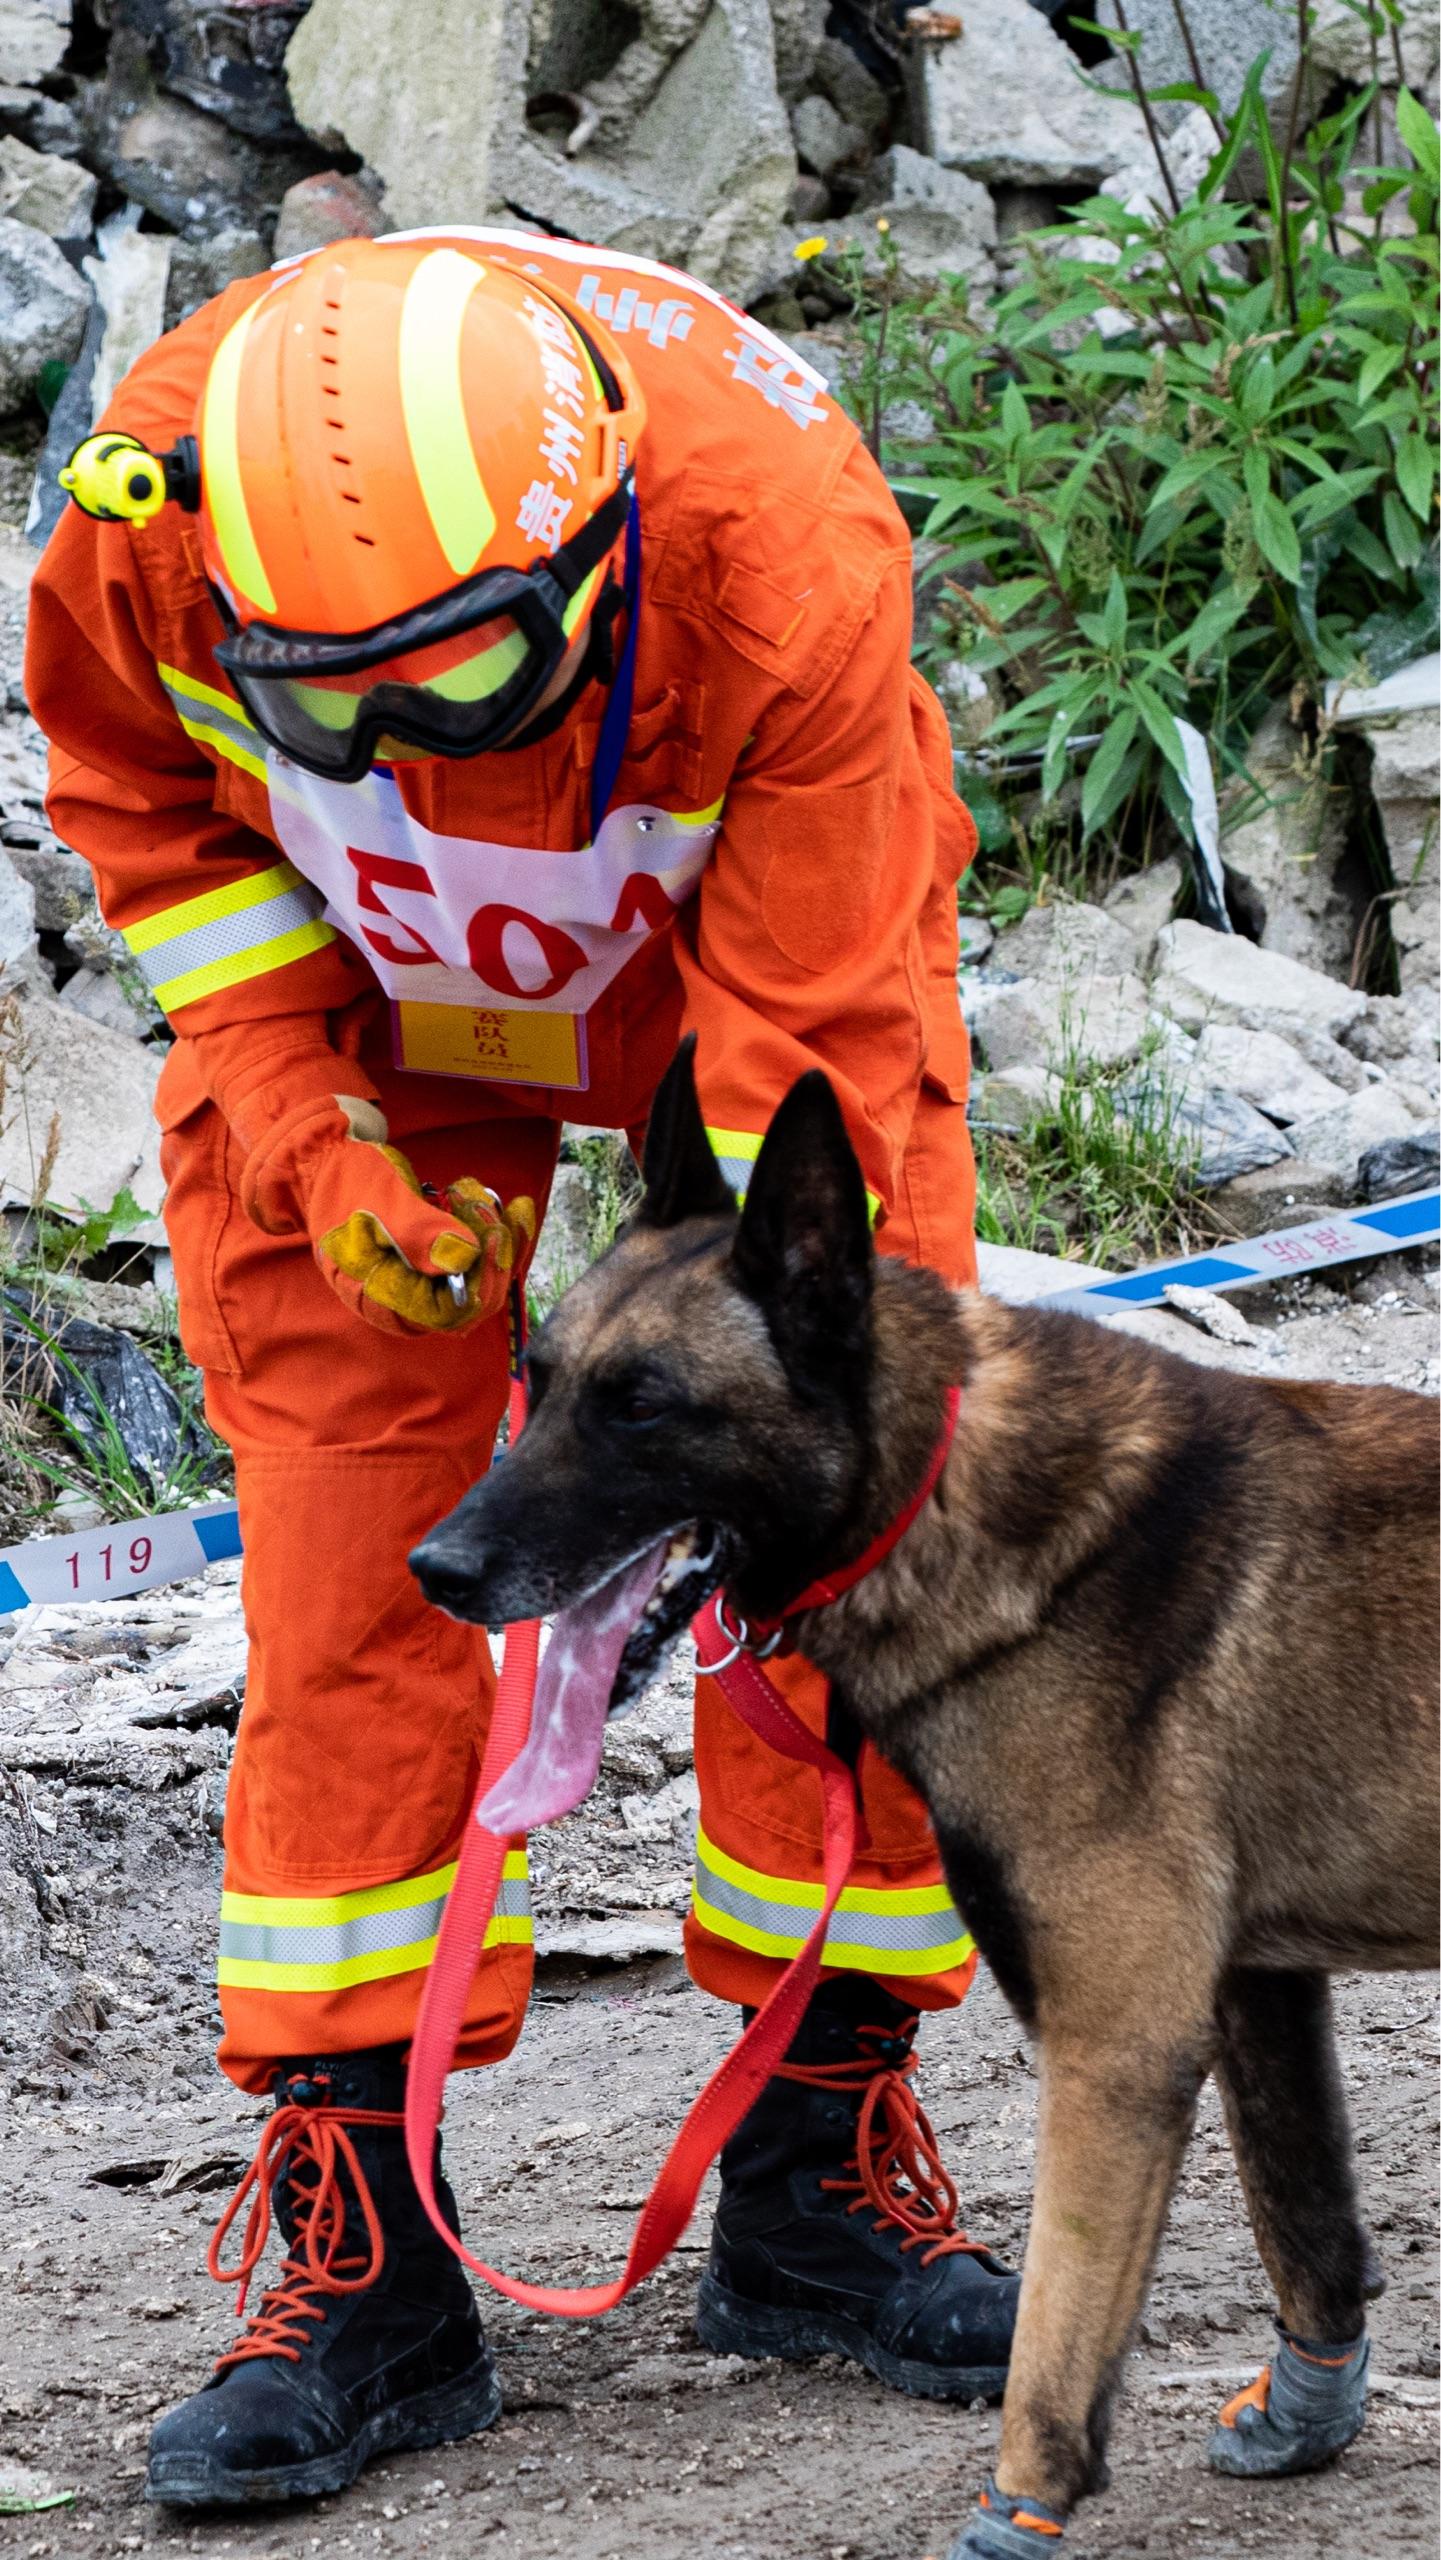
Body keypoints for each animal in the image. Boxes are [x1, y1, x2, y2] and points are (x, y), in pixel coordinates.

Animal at [412, 1039, 1433, 2560]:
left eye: (641, 1403)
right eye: (535, 1378)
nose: (438, 1568)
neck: (941, 1484)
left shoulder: (1116, 2051)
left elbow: (1055, 2342)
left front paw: (1020, 2507)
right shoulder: (1256, 1990)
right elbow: (1307, 2222)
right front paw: (1311, 2409)